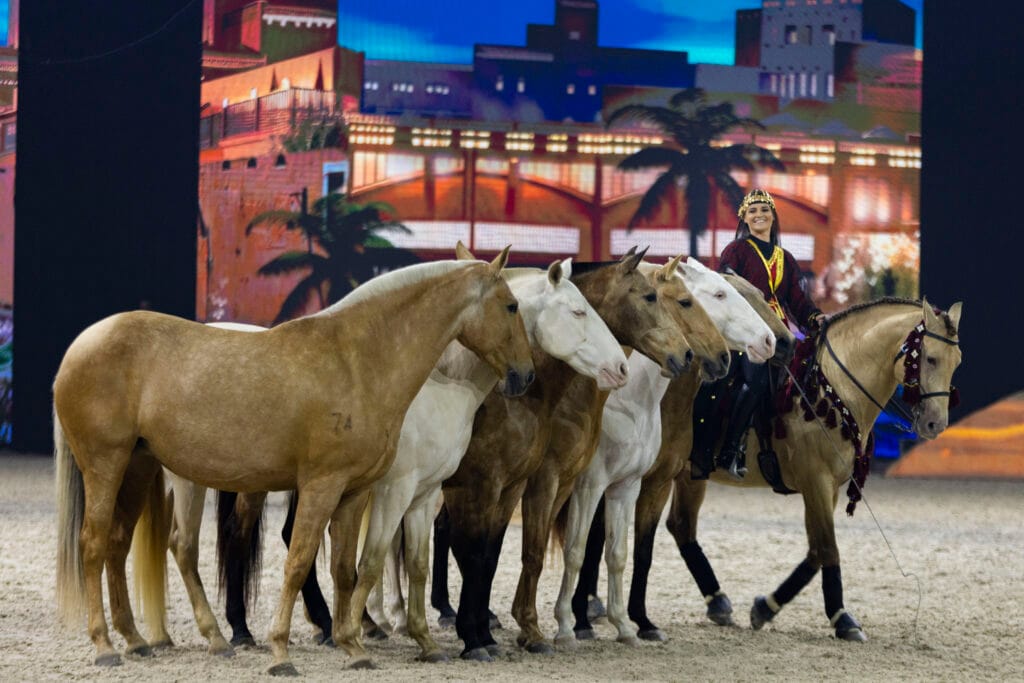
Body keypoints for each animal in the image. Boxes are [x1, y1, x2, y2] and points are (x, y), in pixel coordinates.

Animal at [53, 251, 535, 675]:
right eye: (511, 305)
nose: (526, 375)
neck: (358, 360)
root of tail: (79, 347)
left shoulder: (353, 493)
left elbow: (345, 568)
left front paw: (352, 646)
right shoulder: (322, 486)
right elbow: (300, 561)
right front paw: (281, 652)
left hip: (136, 467)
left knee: (118, 544)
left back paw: (139, 640)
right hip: (106, 465)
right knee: (94, 544)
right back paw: (105, 646)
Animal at [432, 249, 695, 661]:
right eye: (650, 297)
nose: (684, 354)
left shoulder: (535, 484)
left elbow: (510, 554)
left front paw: (510, 632)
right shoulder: (503, 484)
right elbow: (488, 552)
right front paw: (497, 634)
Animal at [550, 262, 784, 647]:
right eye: (720, 294)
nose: (773, 342)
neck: (636, 402)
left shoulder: (652, 483)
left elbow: (637, 552)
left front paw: (641, 622)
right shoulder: (593, 483)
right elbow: (588, 547)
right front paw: (579, 622)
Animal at [582, 297, 962, 643]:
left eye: (957, 361)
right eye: (929, 358)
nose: (935, 424)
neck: (833, 389)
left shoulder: (827, 489)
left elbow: (815, 552)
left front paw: (765, 607)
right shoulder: (816, 482)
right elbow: (828, 548)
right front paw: (842, 619)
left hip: (690, 472)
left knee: (680, 527)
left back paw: (715, 602)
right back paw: (592, 606)